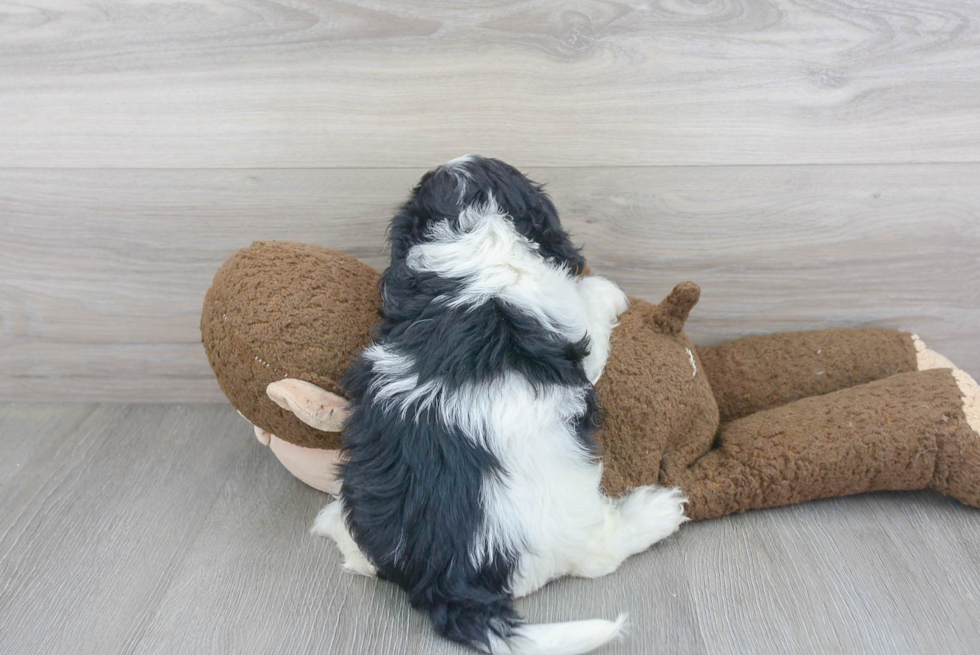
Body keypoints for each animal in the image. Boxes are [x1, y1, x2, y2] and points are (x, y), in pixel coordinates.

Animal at [316, 158, 688, 655]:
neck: (479, 235)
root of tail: (442, 575)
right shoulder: (574, 328)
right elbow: (590, 307)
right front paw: (607, 290)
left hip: (363, 486)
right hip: (567, 510)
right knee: (596, 553)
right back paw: (657, 512)